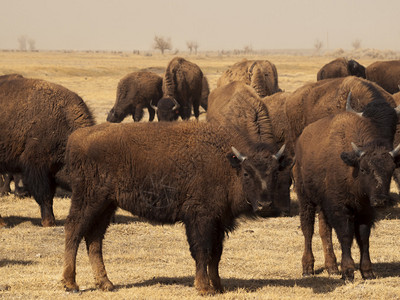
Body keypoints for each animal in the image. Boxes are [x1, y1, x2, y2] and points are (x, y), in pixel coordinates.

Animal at [61, 120, 290, 294]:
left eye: (275, 172)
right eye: (246, 173)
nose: (265, 205)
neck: (227, 164)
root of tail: (76, 137)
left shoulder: (219, 222)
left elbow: (216, 255)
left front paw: (218, 287)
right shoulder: (200, 219)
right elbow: (202, 251)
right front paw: (204, 288)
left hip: (107, 205)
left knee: (94, 239)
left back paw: (106, 283)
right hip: (89, 200)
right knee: (74, 230)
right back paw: (71, 284)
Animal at [294, 96, 400, 282]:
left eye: (390, 169)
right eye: (364, 169)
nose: (381, 200)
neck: (352, 168)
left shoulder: (365, 211)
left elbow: (363, 238)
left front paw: (367, 271)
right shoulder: (341, 209)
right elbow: (346, 236)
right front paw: (348, 272)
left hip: (322, 205)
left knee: (324, 231)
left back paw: (332, 267)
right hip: (305, 198)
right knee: (308, 229)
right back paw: (307, 268)